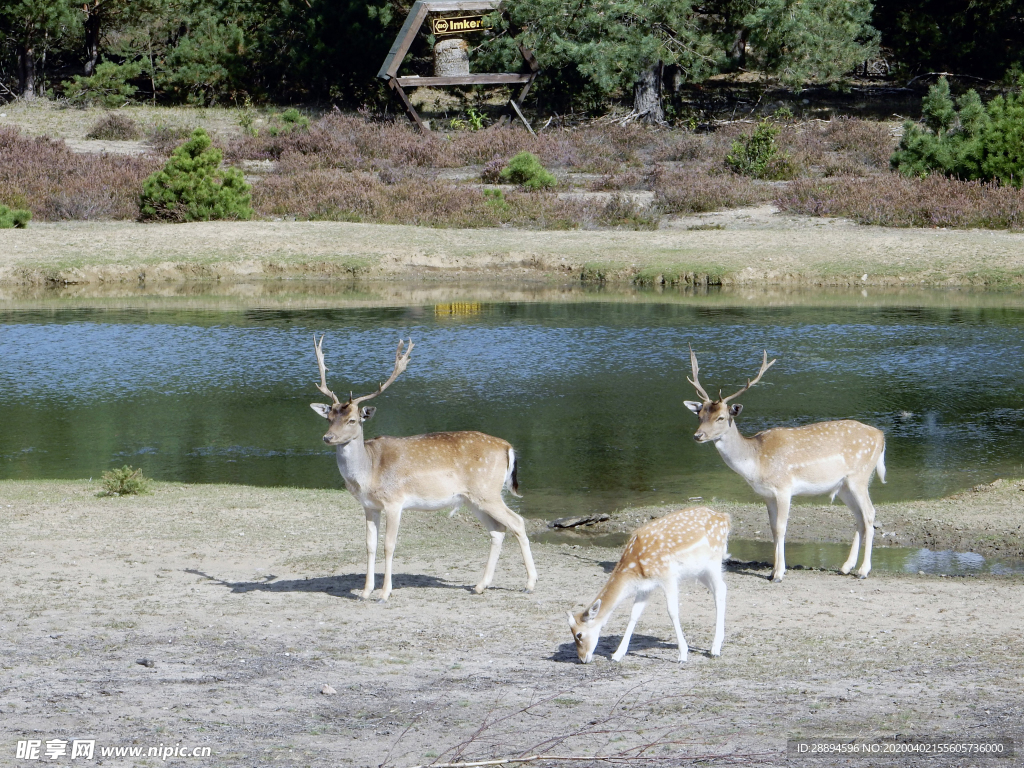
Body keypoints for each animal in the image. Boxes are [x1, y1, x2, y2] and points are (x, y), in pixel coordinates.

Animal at [309, 335, 536, 602]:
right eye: (329, 418)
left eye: (352, 420)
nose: (328, 437)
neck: (369, 471)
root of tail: (508, 447)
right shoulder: (369, 506)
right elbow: (369, 545)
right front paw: (365, 591)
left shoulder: (394, 501)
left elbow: (389, 545)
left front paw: (384, 593)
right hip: (473, 498)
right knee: (498, 530)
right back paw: (480, 585)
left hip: (487, 491)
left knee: (517, 522)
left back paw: (530, 583)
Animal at [569, 507, 729, 663]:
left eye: (579, 634)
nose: (582, 659)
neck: (635, 566)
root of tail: (724, 517)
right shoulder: (645, 586)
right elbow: (634, 614)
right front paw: (617, 655)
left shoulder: (668, 576)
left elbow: (672, 611)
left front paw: (683, 655)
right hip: (700, 571)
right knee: (721, 588)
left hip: (713, 561)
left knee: (720, 590)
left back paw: (715, 649)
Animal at [684, 348, 884, 581]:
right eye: (699, 415)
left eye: (721, 418)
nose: (698, 435)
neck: (757, 461)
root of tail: (881, 436)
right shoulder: (767, 494)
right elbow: (771, 528)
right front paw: (772, 570)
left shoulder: (784, 488)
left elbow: (781, 528)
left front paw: (779, 573)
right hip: (843, 486)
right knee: (859, 518)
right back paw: (845, 567)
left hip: (859, 476)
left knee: (869, 514)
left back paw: (863, 570)